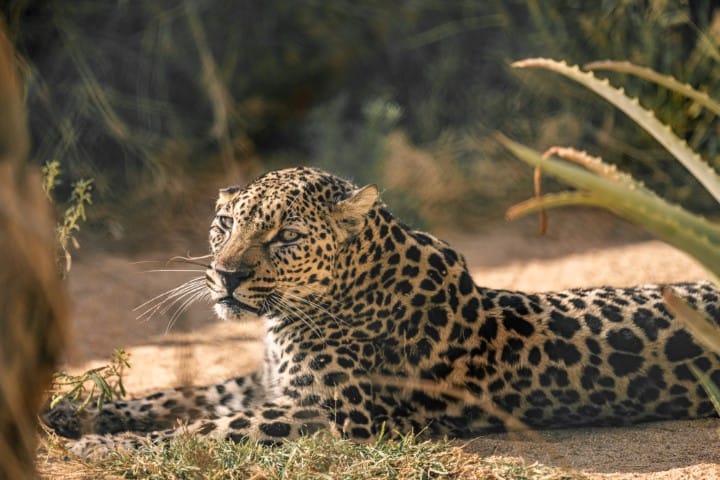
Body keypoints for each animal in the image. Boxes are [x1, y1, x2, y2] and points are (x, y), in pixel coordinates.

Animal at [45, 166, 720, 457]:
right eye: (225, 225)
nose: (227, 276)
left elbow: (207, 429)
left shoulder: (336, 415)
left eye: (285, 236)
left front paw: (101, 449)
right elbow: (178, 398)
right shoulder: (267, 381)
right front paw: (74, 414)